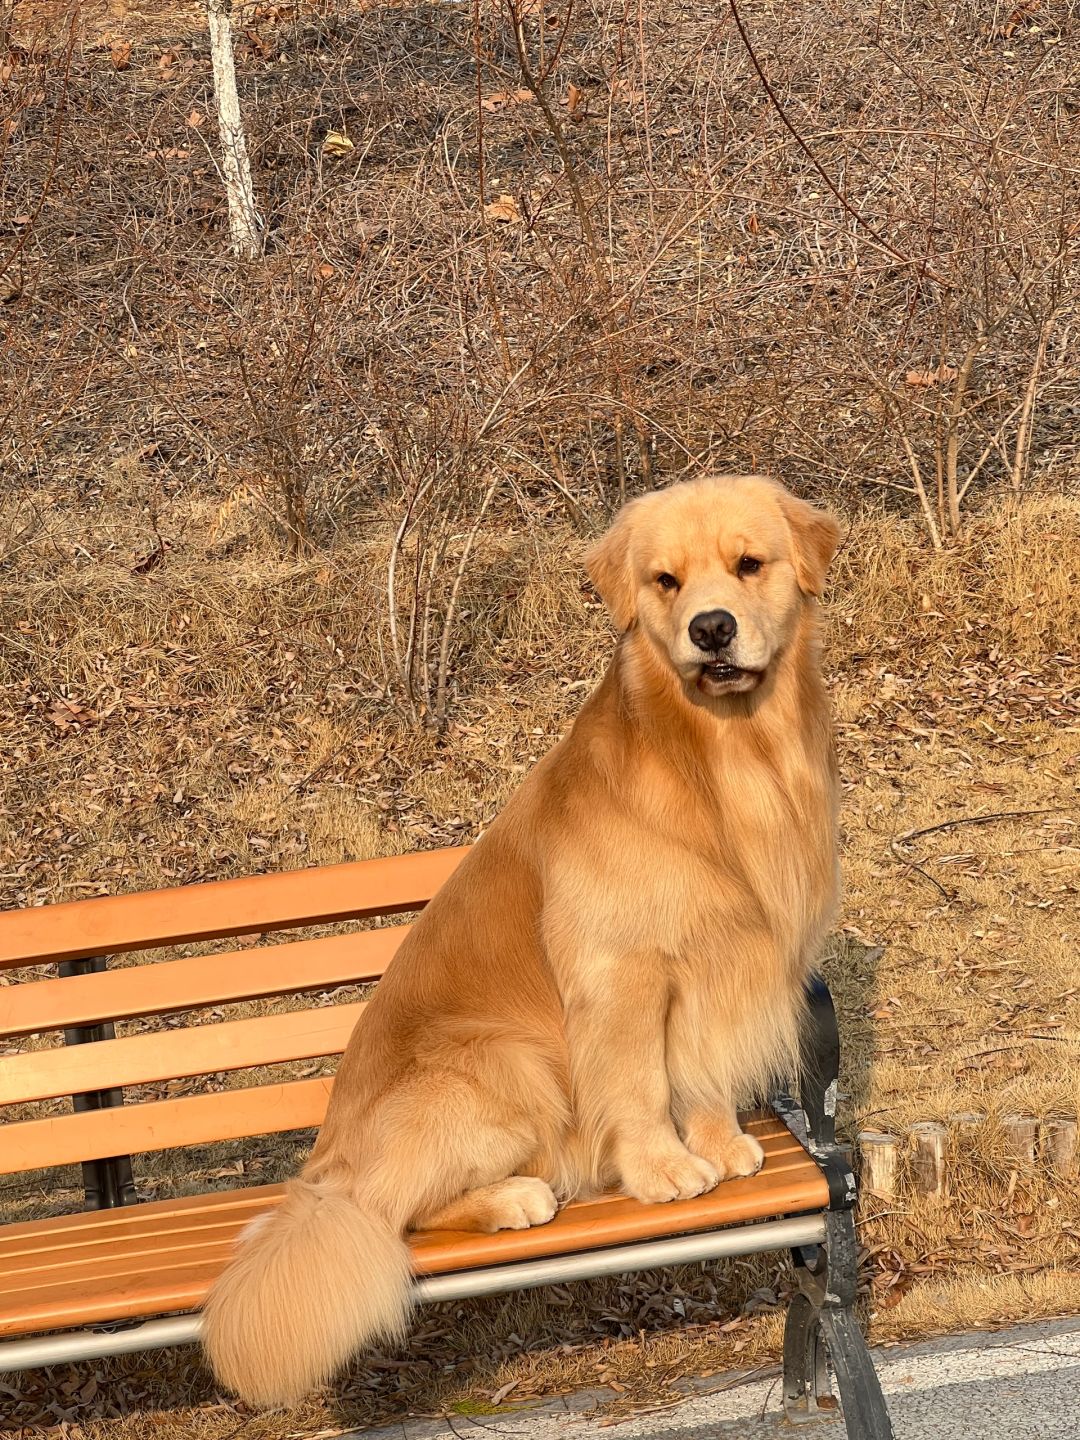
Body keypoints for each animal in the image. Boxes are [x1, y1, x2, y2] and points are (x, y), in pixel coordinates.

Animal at [204, 472, 846, 1405]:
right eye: (665, 581)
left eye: (749, 565)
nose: (711, 629)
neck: (723, 760)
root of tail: (324, 1166)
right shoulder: (622, 971)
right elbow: (642, 1083)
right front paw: (663, 1169)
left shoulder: (714, 957)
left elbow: (701, 1071)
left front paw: (720, 1142)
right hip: (509, 1065)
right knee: (392, 1211)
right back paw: (515, 1198)